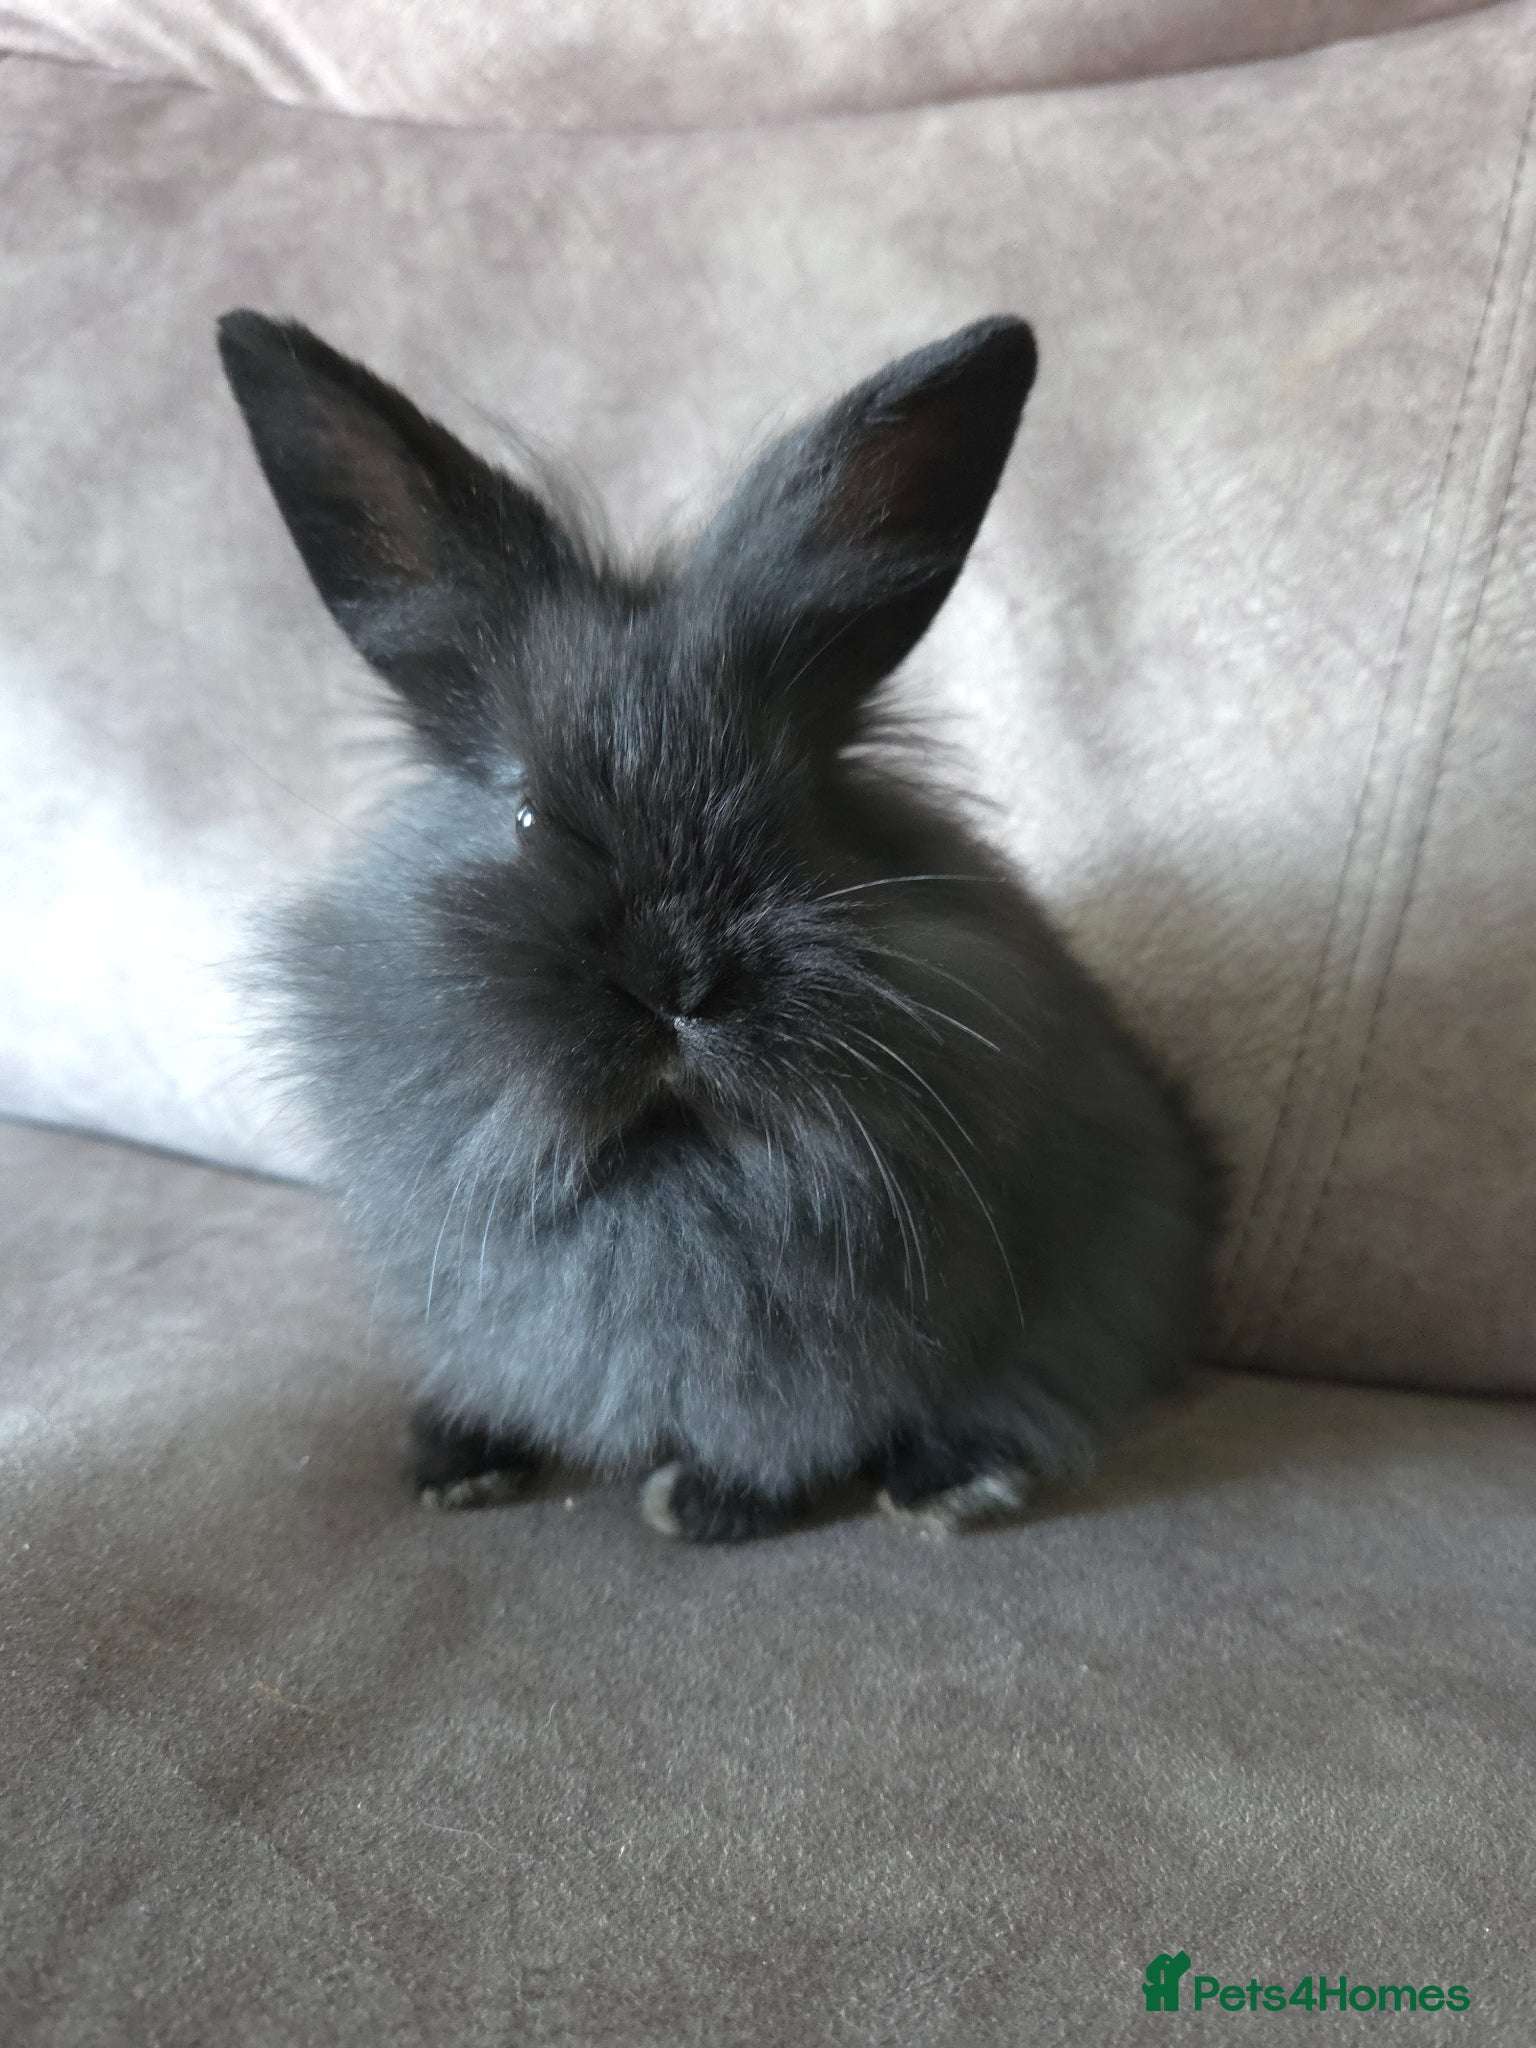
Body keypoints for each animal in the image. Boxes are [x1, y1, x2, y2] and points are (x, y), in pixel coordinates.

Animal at [218, 308, 1220, 1543]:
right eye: (527, 813)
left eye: (796, 807)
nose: (672, 981)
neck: (670, 1165)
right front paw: (454, 1458)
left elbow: (793, 1429)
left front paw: (706, 1503)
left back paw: (942, 1486)